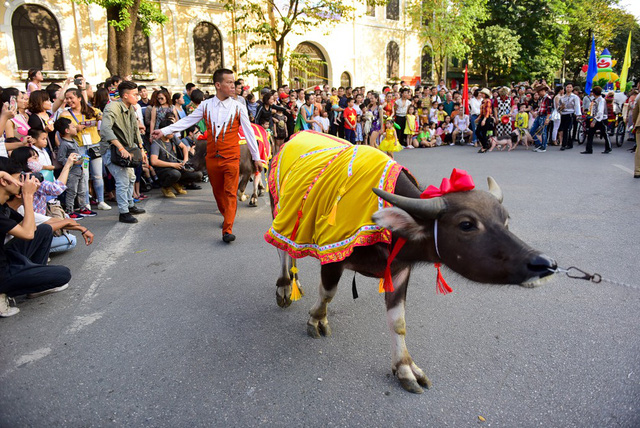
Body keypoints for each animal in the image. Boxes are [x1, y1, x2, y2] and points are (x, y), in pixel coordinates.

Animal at [264, 131, 556, 394]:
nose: (545, 264)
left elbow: (398, 321)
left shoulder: (399, 271)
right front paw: (316, 320)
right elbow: (327, 293)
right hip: (278, 207)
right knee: (282, 249)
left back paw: (295, 282)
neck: (384, 227)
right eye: (466, 224)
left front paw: (405, 369)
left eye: (506, 220)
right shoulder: (332, 256)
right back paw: (284, 286)